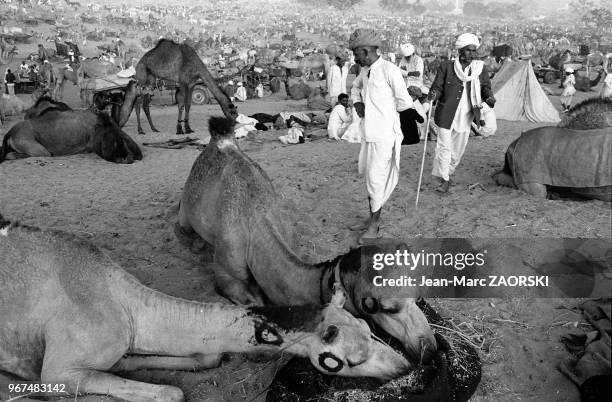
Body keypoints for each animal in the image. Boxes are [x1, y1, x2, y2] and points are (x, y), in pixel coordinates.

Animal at [1, 214, 412, 402]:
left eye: (372, 331)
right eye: (351, 360)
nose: (405, 366)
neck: (128, 306)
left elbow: (204, 358)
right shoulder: (59, 368)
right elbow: (173, 392)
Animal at [175, 116, 438, 364]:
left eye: (417, 297)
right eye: (385, 307)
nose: (430, 347)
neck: (255, 221)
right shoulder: (226, 275)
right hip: (186, 213)